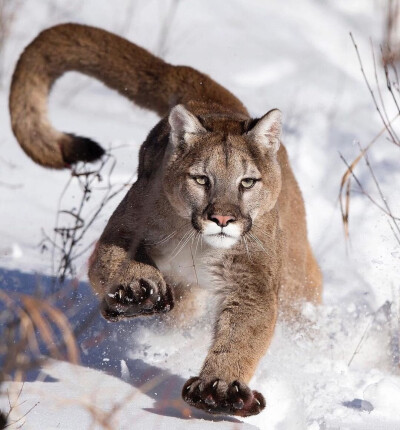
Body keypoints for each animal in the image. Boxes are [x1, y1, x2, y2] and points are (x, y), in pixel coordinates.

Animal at [9, 23, 322, 416]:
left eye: (247, 182)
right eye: (201, 179)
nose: (222, 218)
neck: (199, 244)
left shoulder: (252, 279)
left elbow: (244, 332)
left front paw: (221, 388)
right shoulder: (124, 230)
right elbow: (109, 263)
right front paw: (135, 290)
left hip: (294, 276)